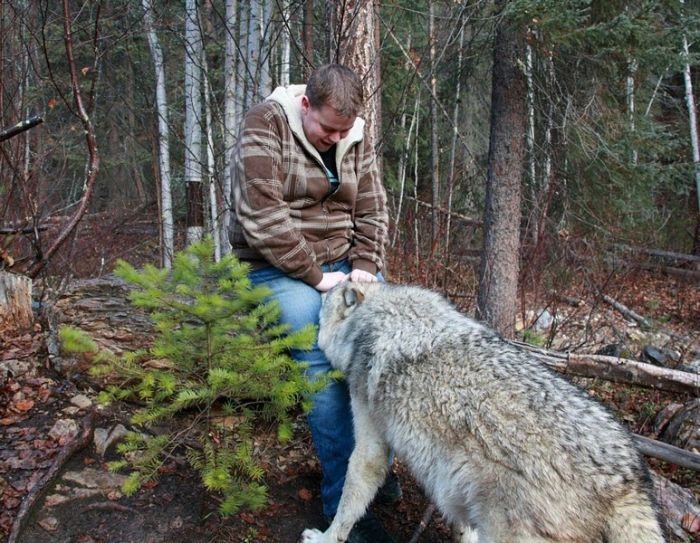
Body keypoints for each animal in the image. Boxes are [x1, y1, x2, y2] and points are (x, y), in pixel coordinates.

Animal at [300, 284, 660, 543]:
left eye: (325, 299)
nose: (318, 287)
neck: (371, 319)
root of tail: (628, 480)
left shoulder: (370, 444)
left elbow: (347, 506)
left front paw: (325, 538)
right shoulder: (455, 482)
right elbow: (463, 528)